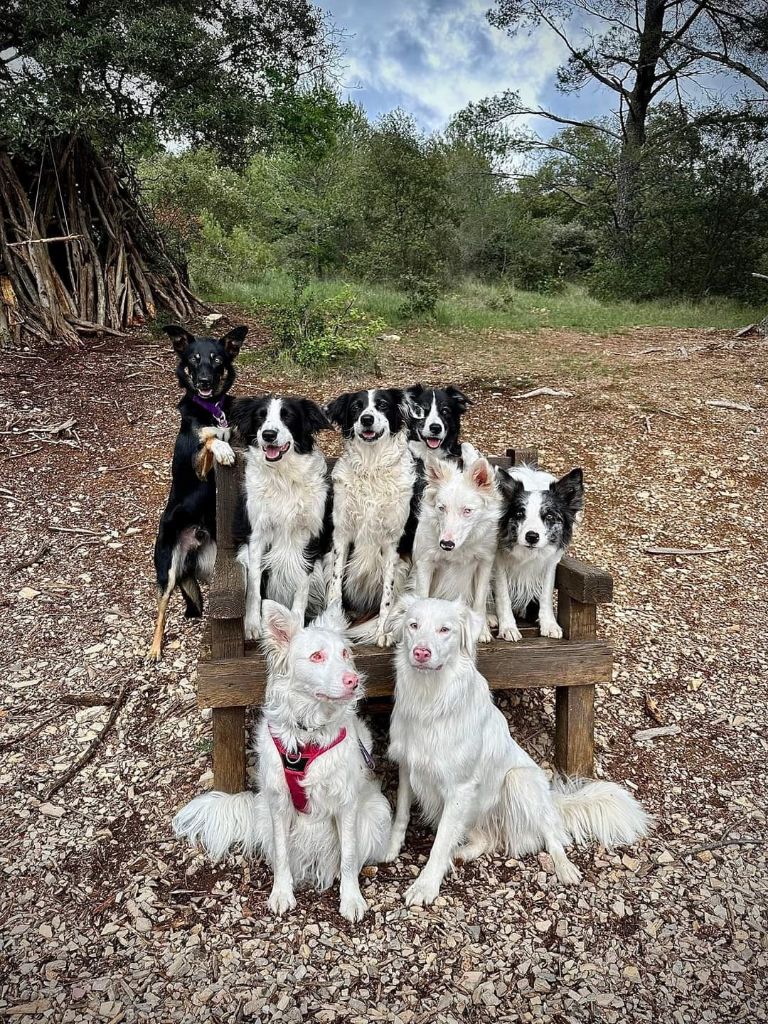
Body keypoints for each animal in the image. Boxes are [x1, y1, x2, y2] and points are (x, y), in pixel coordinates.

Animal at [147, 321, 246, 663]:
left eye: (216, 359)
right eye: (194, 359)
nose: (203, 382)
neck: (212, 410)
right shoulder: (198, 465)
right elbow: (209, 440)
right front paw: (222, 449)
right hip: (167, 568)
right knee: (161, 609)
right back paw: (154, 649)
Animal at [173, 598, 391, 921]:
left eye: (345, 653)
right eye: (316, 656)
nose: (353, 681)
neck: (308, 735)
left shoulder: (347, 803)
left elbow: (350, 856)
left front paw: (351, 899)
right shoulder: (278, 803)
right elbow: (281, 852)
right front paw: (281, 892)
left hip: (375, 811)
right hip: (265, 814)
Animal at [385, 598, 651, 909]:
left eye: (445, 630)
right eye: (413, 625)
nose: (421, 652)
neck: (430, 699)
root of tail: (552, 799)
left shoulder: (460, 788)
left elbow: (440, 843)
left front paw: (426, 885)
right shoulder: (407, 766)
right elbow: (402, 814)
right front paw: (391, 848)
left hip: (519, 780)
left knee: (552, 834)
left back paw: (565, 868)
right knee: (485, 839)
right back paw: (462, 853)